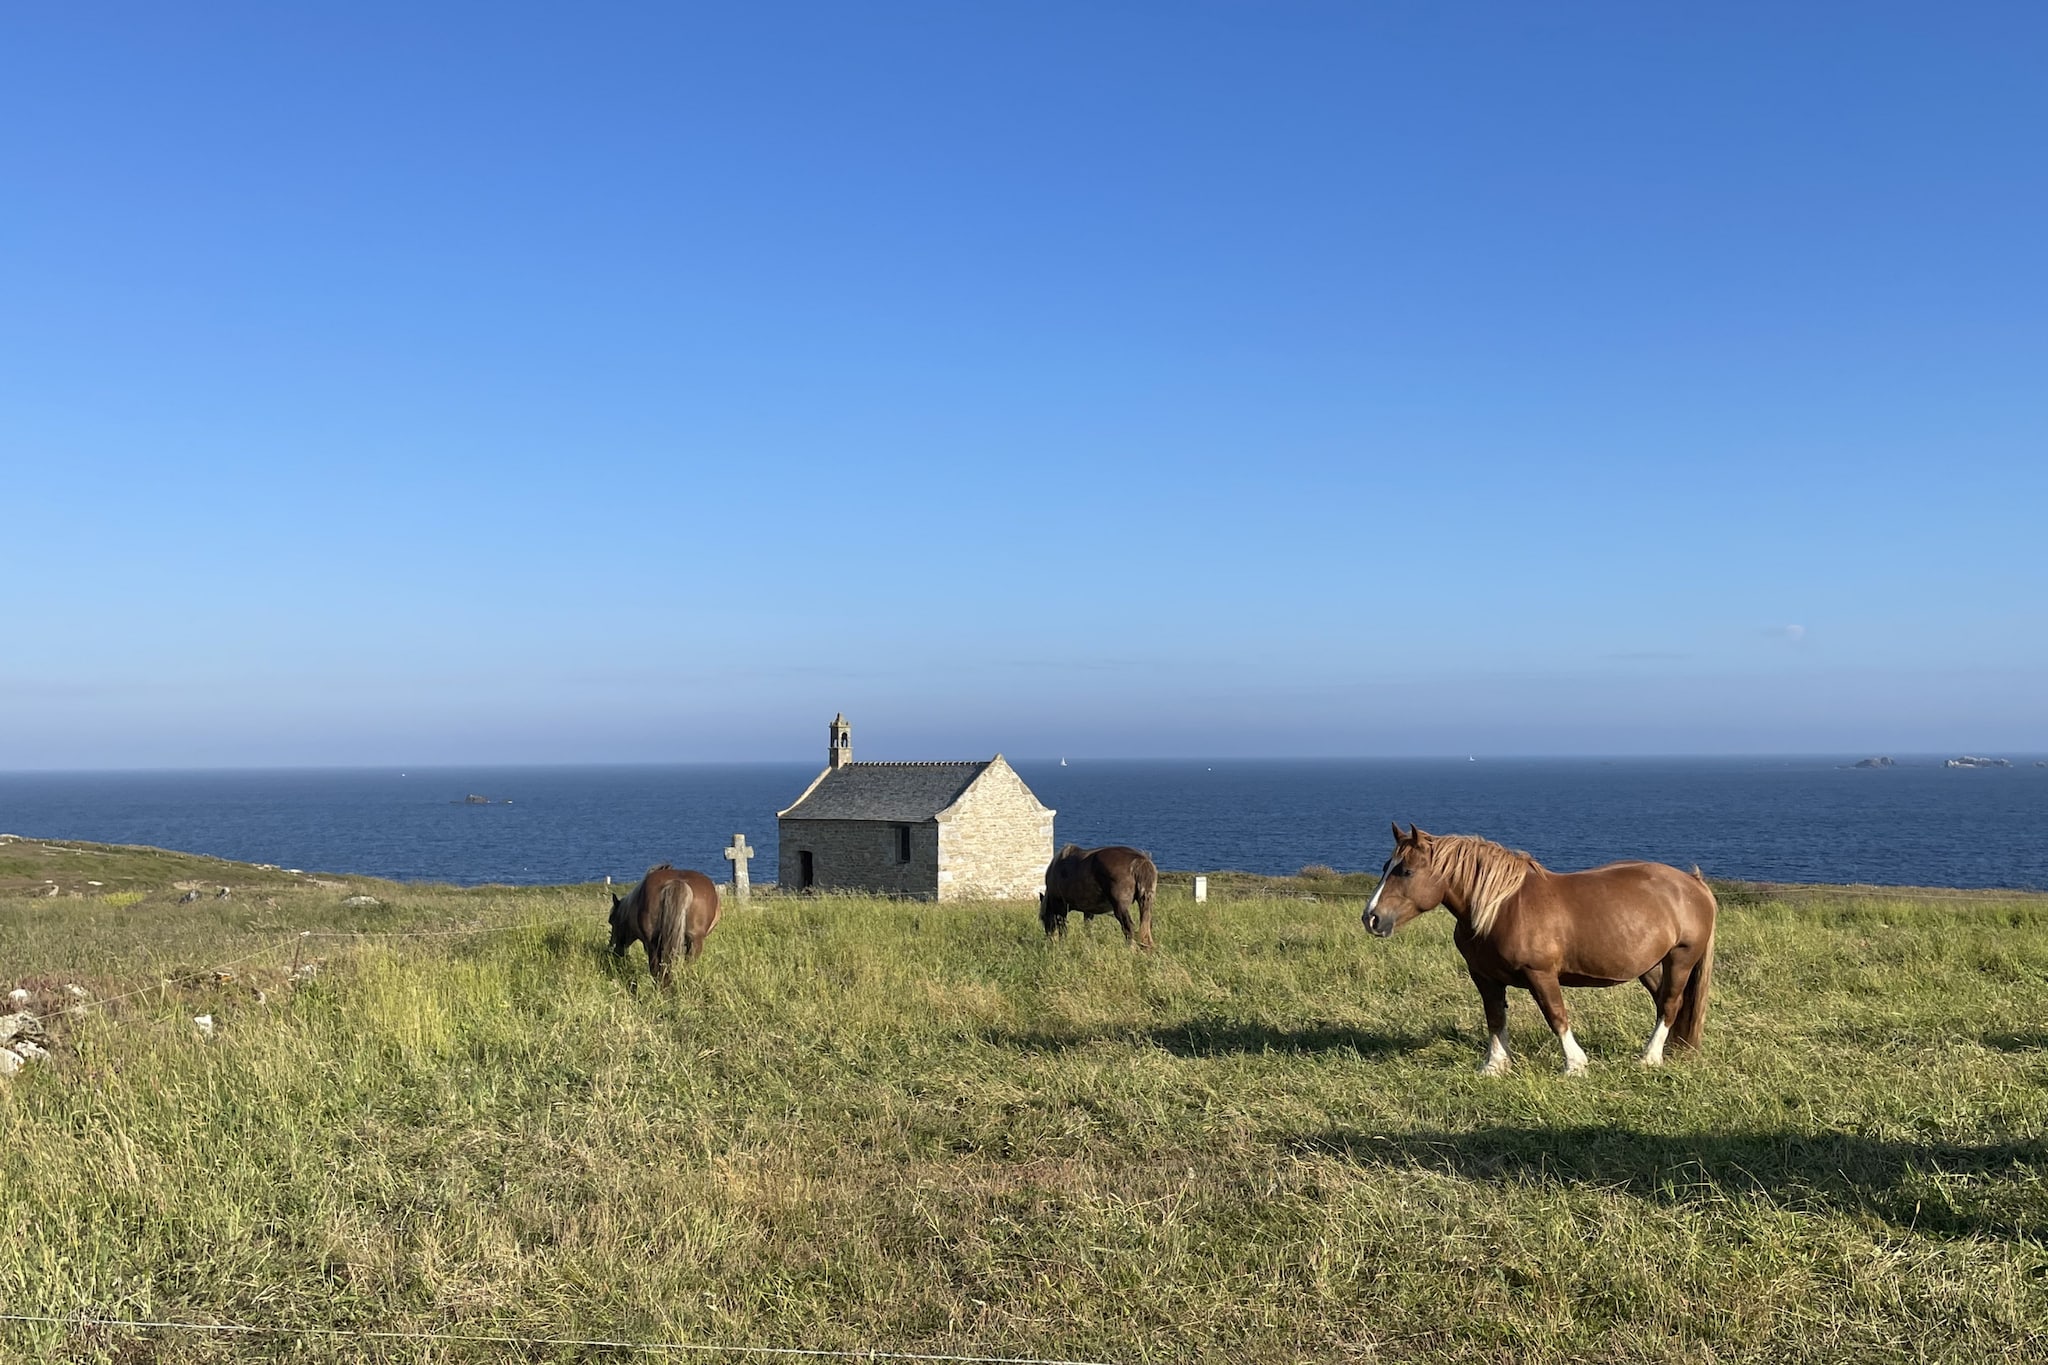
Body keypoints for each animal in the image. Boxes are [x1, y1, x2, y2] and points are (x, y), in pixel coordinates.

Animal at [1368, 822, 1720, 1080]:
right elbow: (1495, 1017)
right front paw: (1494, 1066)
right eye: (1385, 866)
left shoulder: (1540, 974)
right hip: (1650, 965)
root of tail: (1692, 883)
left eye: (1406, 871)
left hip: (1680, 958)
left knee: (1670, 1005)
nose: (1371, 917)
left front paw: (1575, 1065)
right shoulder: (1484, 977)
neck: (1502, 907)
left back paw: (1649, 1058)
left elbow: (1556, 1015)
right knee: (1664, 1002)